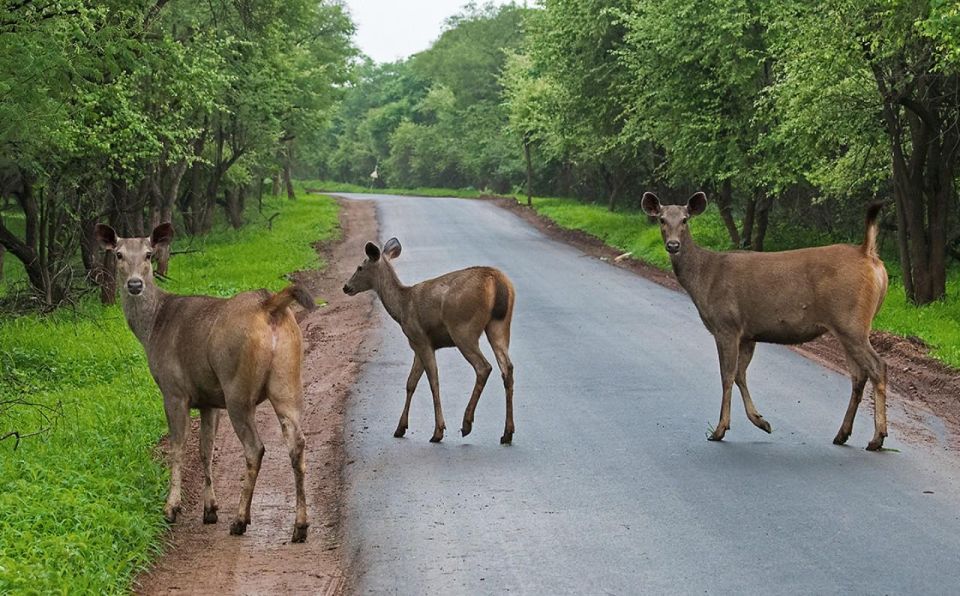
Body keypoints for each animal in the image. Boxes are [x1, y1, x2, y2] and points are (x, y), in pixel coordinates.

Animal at [94, 221, 314, 544]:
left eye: (148, 255)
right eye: (119, 254)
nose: (134, 285)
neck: (152, 327)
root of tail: (270, 305)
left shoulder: (174, 390)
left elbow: (178, 446)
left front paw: (172, 507)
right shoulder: (209, 399)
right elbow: (205, 450)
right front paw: (210, 509)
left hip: (237, 387)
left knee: (255, 447)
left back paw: (240, 519)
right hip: (288, 380)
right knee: (297, 443)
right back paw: (300, 526)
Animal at [342, 237, 512, 442]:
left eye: (360, 267)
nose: (346, 287)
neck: (401, 308)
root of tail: (497, 281)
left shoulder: (420, 338)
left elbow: (433, 381)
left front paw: (438, 431)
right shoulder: (419, 345)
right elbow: (411, 382)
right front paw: (400, 427)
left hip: (463, 328)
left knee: (484, 367)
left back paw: (466, 424)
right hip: (499, 325)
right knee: (507, 369)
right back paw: (507, 433)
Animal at [640, 193, 888, 450]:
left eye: (685, 219)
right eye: (661, 219)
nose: (673, 245)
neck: (704, 278)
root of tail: (868, 254)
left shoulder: (726, 324)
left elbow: (727, 375)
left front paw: (720, 429)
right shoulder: (748, 333)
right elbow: (740, 375)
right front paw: (761, 421)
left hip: (850, 320)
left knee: (878, 366)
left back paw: (877, 437)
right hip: (849, 325)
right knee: (859, 376)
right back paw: (842, 434)